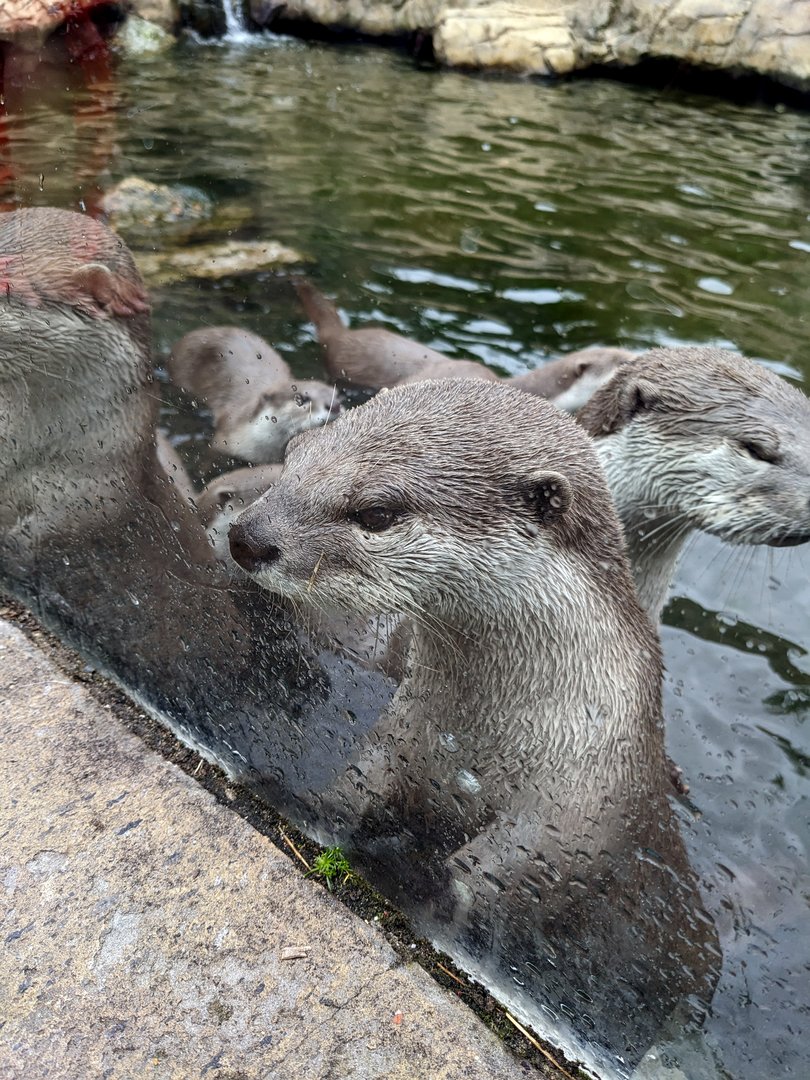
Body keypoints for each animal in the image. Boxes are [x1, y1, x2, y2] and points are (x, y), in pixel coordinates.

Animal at [228, 378, 718, 1066]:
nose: (247, 536)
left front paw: (411, 876)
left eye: (376, 512)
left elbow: (510, 871)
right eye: (296, 454)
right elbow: (358, 782)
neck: (484, 741)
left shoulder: (581, 805)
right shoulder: (404, 733)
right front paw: (303, 799)